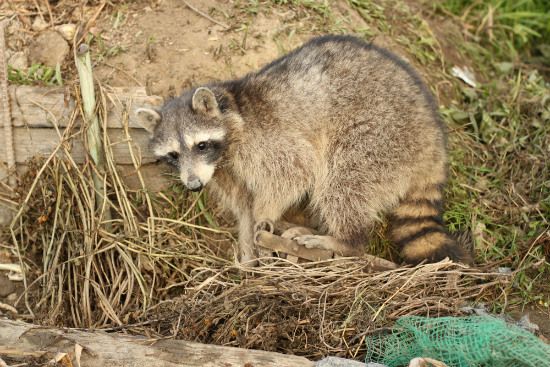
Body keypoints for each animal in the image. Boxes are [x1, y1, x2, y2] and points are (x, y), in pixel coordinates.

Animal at [138, 35, 474, 264]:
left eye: (201, 144)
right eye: (173, 155)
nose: (193, 186)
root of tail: (434, 137)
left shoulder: (264, 140)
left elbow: (295, 172)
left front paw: (266, 211)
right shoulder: (222, 171)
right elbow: (243, 205)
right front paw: (247, 250)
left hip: (382, 134)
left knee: (344, 181)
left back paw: (344, 240)